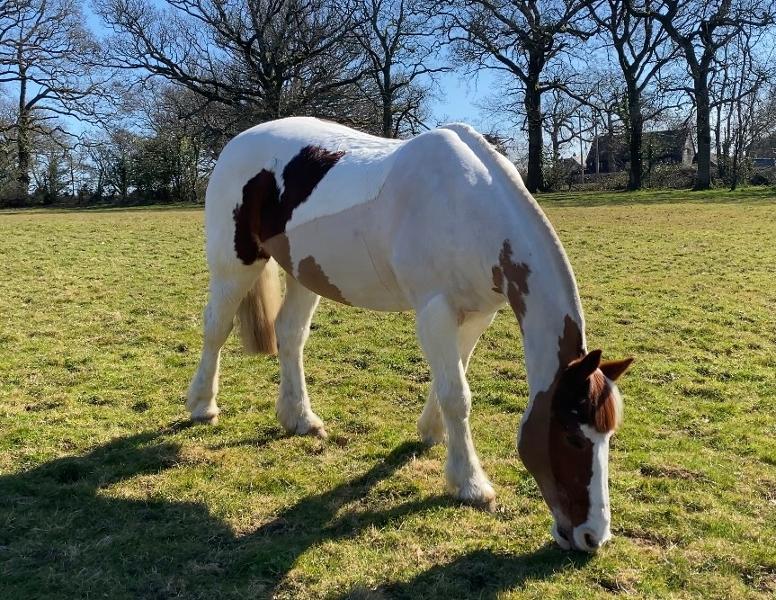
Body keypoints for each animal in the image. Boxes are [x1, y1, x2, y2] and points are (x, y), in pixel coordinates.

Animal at [186, 117, 634, 552]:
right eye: (574, 438)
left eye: (608, 435)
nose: (593, 537)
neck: (468, 209)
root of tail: (238, 142)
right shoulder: (434, 311)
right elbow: (458, 395)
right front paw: (470, 484)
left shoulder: (476, 314)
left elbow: (454, 379)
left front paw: (433, 434)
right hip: (235, 264)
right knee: (216, 329)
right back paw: (203, 405)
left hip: (303, 272)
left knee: (290, 335)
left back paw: (299, 418)